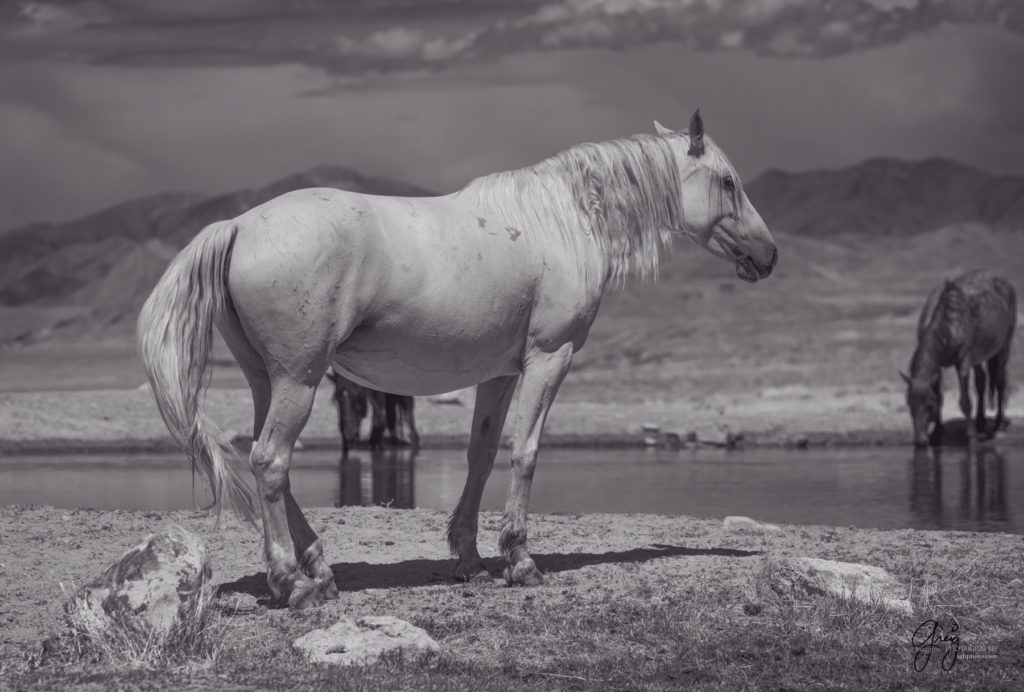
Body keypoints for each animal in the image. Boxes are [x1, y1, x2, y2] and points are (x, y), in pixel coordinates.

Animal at [136, 111, 774, 610]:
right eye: (728, 182)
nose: (768, 255)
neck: (561, 220)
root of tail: (239, 225)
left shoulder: (499, 375)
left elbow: (482, 454)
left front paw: (469, 557)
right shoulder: (550, 359)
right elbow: (526, 453)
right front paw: (519, 561)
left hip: (267, 380)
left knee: (265, 459)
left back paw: (319, 566)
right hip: (300, 379)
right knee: (271, 461)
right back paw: (294, 584)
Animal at [905, 268, 1015, 446]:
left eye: (928, 405)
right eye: (909, 404)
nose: (920, 441)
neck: (948, 324)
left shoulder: (962, 363)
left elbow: (965, 402)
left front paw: (971, 436)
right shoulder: (938, 367)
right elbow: (940, 395)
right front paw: (937, 432)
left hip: (1004, 348)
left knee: (1000, 382)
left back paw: (998, 424)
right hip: (977, 357)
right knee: (981, 381)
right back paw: (980, 422)